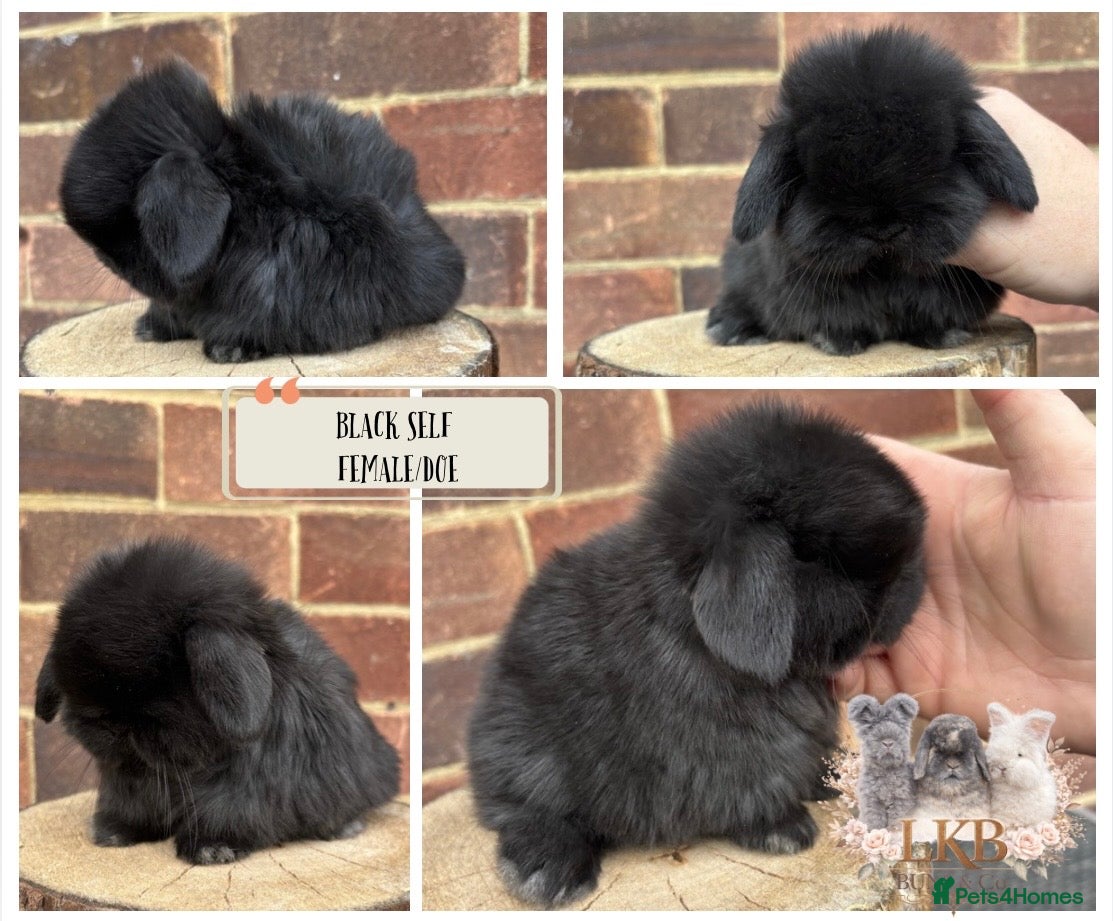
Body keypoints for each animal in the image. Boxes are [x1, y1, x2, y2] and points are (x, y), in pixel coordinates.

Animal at [34, 537, 400, 864]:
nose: (111, 721)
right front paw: (111, 833)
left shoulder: (239, 788)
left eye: (166, 676)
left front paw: (212, 850)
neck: (175, 769)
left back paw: (344, 828)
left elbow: (225, 811)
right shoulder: (125, 779)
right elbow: (129, 806)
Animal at [706, 27, 1038, 356]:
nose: (883, 229)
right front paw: (838, 343)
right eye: (815, 173)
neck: (884, 272)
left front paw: (944, 336)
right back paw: (731, 330)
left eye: (939, 158)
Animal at [848, 693, 918, 830]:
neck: (887, 771)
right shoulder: (872, 801)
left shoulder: (902, 801)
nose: (888, 742)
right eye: (871, 727)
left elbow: (896, 820)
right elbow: (875, 821)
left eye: (898, 724)